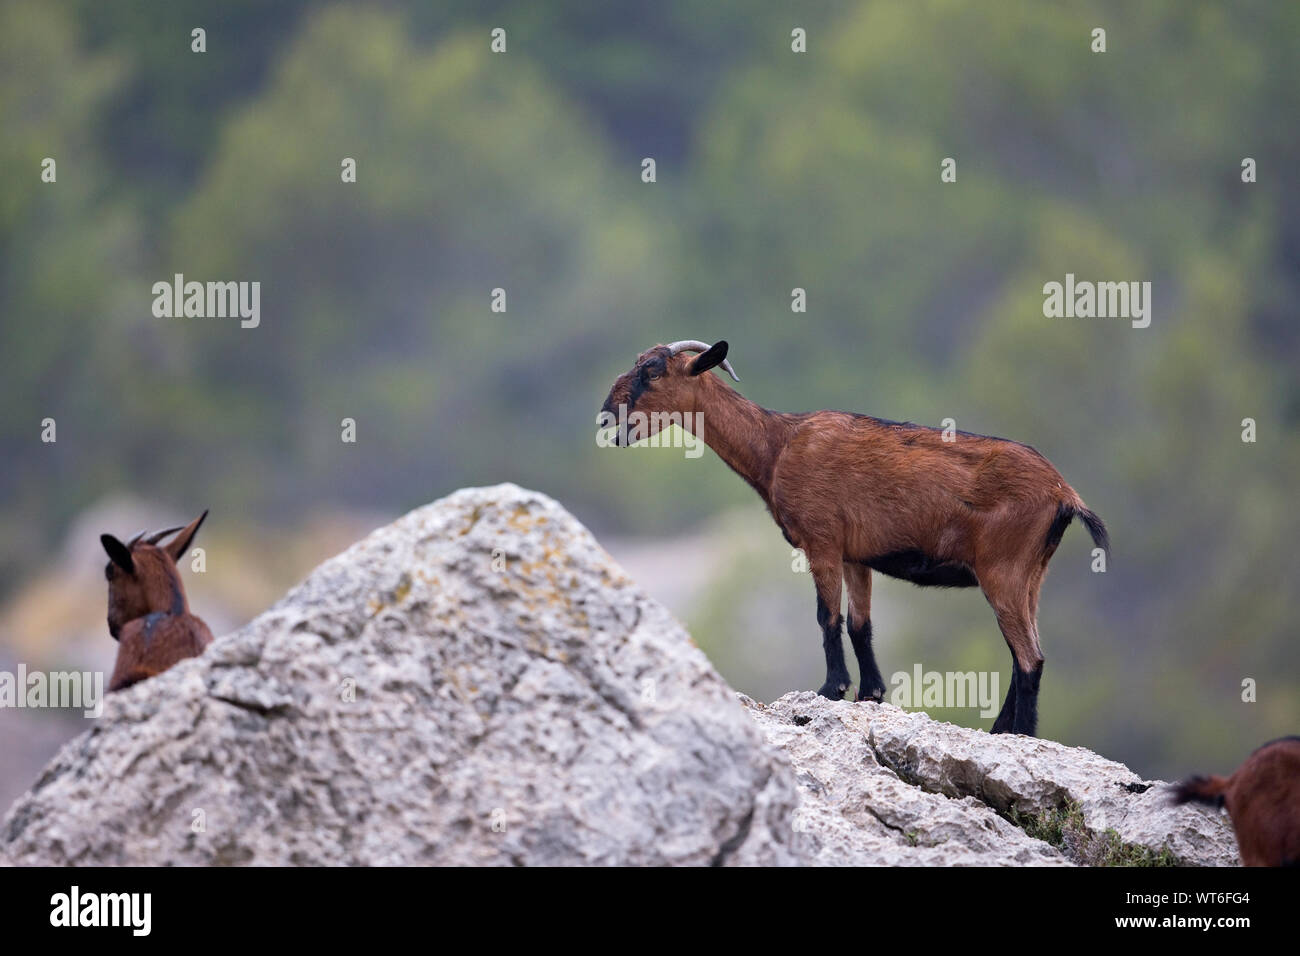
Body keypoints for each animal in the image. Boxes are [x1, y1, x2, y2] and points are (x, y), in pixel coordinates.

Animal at [598, 341, 1108, 735]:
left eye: (652, 371)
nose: (605, 416)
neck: (777, 446)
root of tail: (1064, 493)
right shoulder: (856, 555)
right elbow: (861, 624)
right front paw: (871, 693)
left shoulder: (821, 542)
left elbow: (827, 616)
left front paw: (831, 690)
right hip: (1032, 575)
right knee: (1026, 652)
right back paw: (1001, 729)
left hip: (1004, 569)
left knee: (1029, 657)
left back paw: (1018, 733)